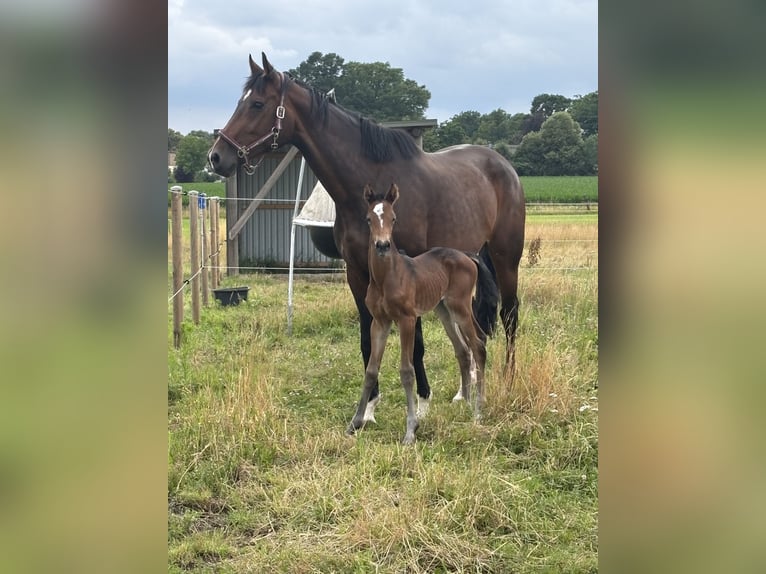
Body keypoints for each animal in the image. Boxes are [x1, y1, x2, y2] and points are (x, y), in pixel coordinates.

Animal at [350, 183, 496, 444]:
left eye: (393, 218)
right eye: (368, 219)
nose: (382, 245)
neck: (386, 278)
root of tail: (468, 255)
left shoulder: (407, 319)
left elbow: (407, 371)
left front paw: (411, 429)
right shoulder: (380, 322)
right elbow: (371, 370)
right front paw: (356, 422)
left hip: (460, 307)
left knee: (478, 344)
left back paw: (478, 410)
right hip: (444, 310)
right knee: (462, 348)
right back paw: (466, 401)